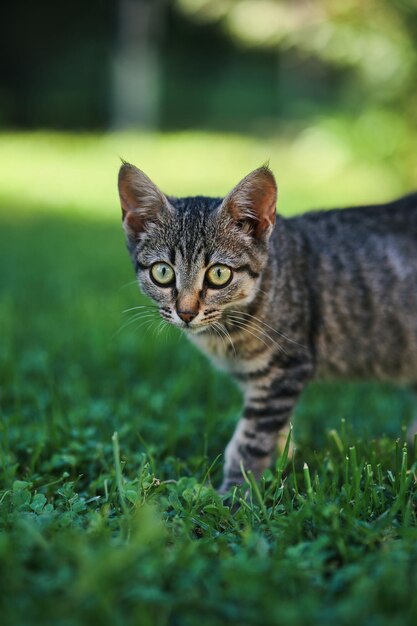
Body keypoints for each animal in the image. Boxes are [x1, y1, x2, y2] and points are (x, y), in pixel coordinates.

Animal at [116, 162, 416, 492]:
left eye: (219, 274)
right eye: (162, 273)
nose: (186, 312)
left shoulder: (285, 368)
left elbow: (251, 439)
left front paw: (236, 492)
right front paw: (282, 462)